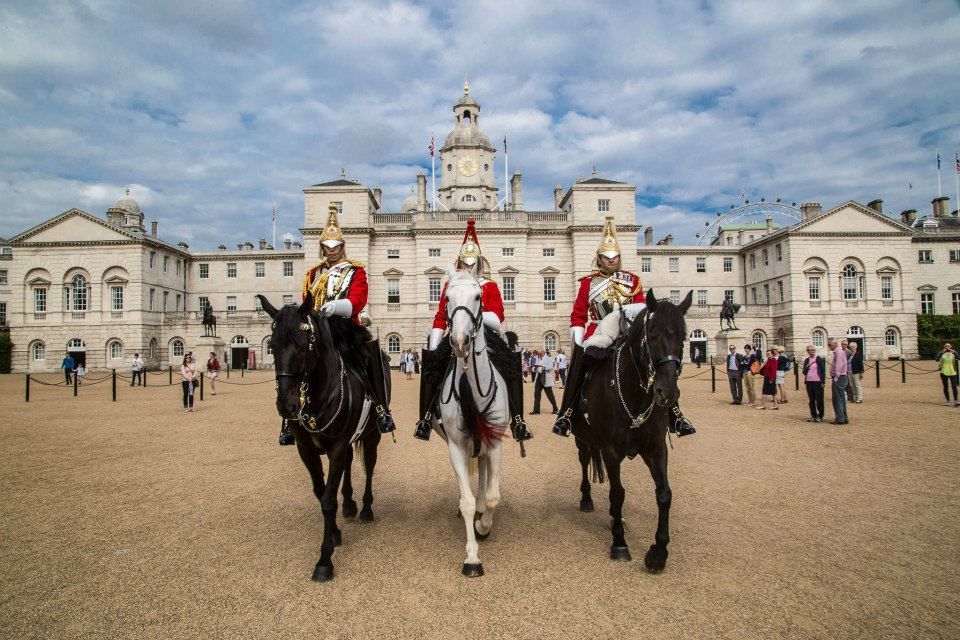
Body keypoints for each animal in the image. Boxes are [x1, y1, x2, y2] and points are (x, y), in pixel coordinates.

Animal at [258, 292, 390, 584]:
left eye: (304, 343)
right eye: (271, 346)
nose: (287, 407)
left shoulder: (338, 446)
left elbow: (329, 501)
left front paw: (324, 560)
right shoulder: (307, 450)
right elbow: (321, 494)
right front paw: (336, 533)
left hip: (373, 434)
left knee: (369, 467)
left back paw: (366, 508)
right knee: (350, 465)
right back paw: (350, 505)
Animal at [568, 288, 688, 568]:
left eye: (684, 336)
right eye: (651, 335)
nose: (666, 393)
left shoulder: (656, 448)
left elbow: (664, 493)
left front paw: (658, 551)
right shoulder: (611, 451)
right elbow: (617, 493)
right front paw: (619, 543)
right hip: (582, 438)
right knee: (584, 461)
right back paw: (587, 499)